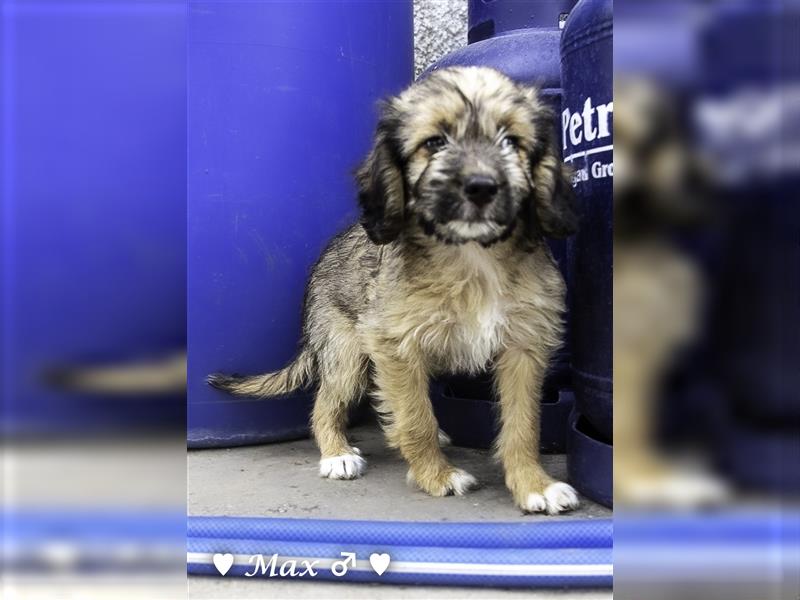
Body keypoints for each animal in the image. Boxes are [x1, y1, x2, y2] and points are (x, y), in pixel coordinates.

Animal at [209, 67, 580, 516]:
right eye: (435, 142)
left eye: (511, 141)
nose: (481, 186)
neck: (473, 256)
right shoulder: (395, 344)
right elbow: (417, 418)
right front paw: (436, 476)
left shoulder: (524, 347)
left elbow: (523, 425)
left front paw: (534, 485)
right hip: (347, 355)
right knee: (326, 404)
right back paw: (337, 453)